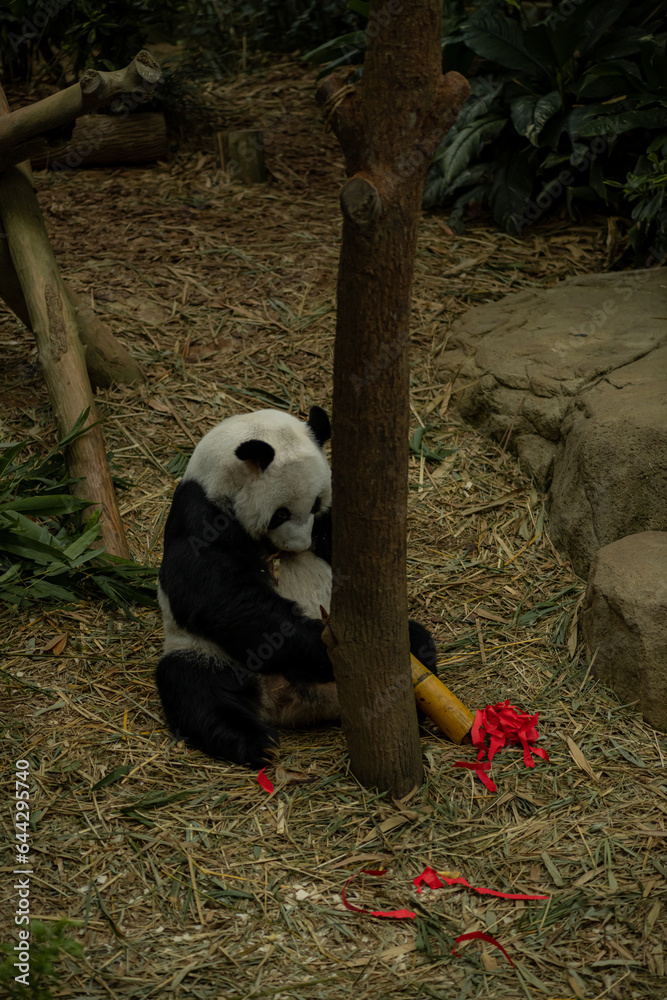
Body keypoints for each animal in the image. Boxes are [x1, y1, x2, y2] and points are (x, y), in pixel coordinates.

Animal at [156, 405, 437, 767]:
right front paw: (319, 645)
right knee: (193, 686)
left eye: (316, 503)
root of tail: (286, 702)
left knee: (418, 641)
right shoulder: (201, 512)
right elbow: (214, 591)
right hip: (206, 652)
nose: (301, 545)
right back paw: (255, 742)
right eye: (280, 514)